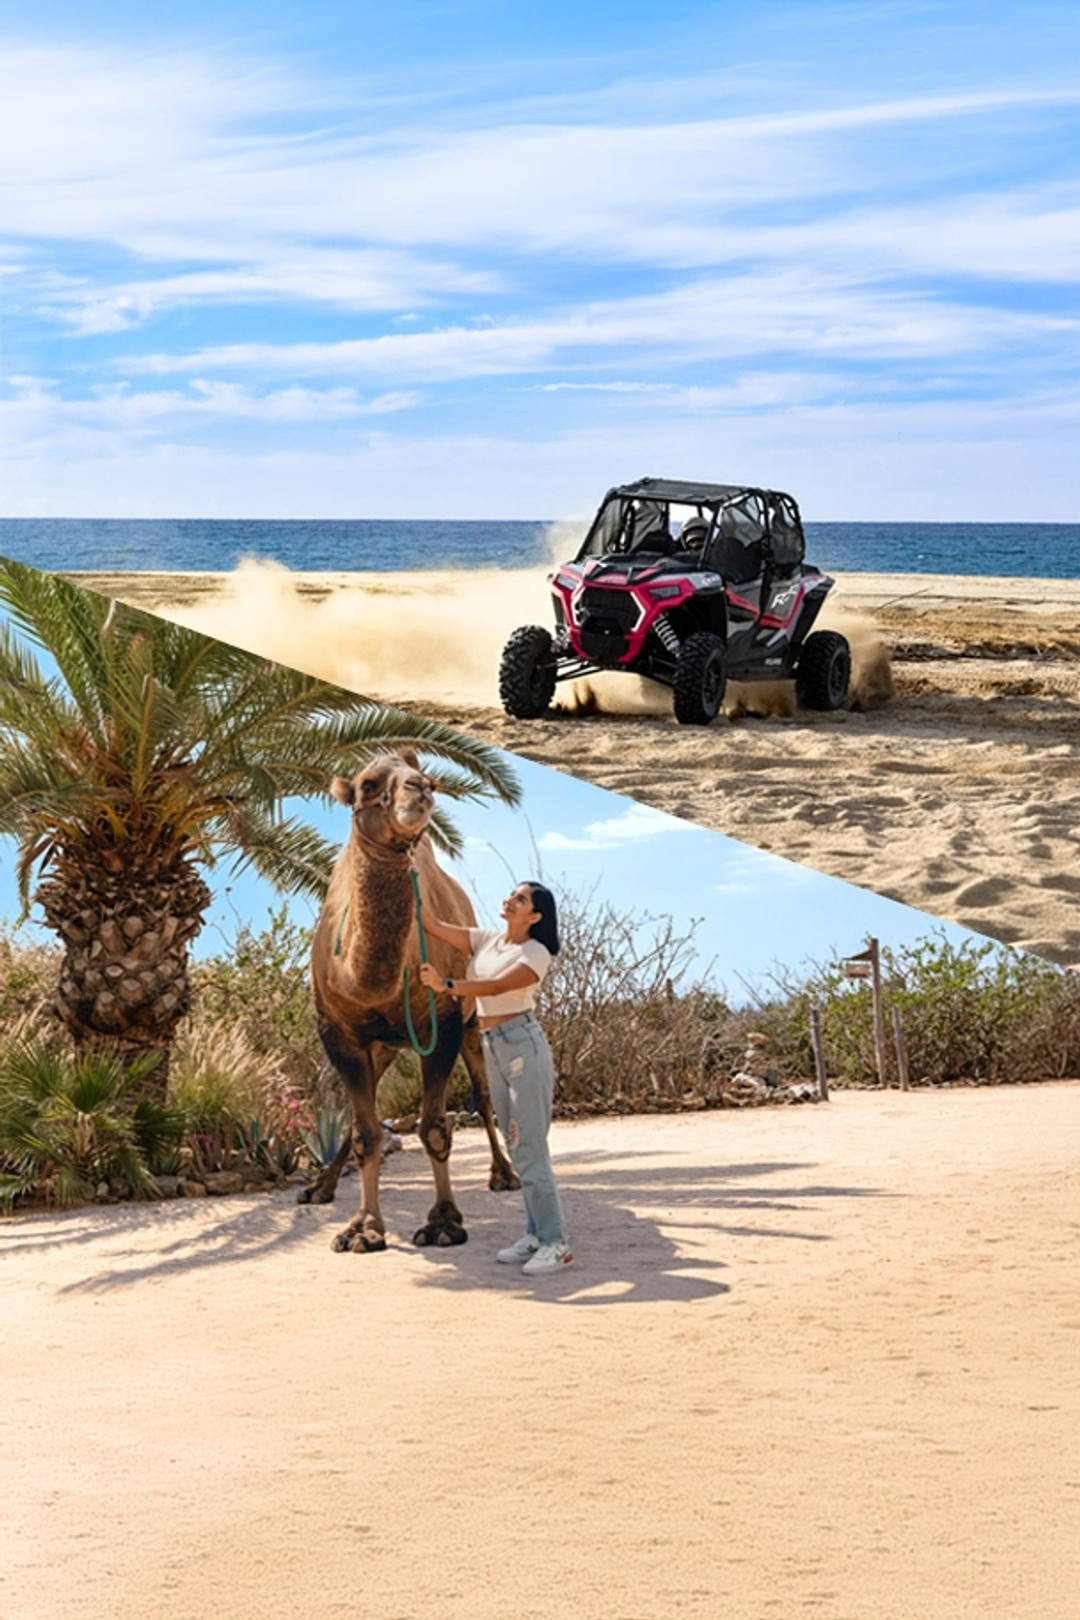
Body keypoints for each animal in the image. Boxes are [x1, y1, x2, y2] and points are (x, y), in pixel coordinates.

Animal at [300, 748, 519, 1252]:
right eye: (366, 784)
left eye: (425, 778)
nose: (421, 788)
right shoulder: (338, 1033)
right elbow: (364, 1131)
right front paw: (362, 1228)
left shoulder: (442, 1022)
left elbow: (434, 1126)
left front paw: (444, 1223)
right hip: (383, 1045)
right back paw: (319, 1187)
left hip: (471, 1025)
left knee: (484, 1096)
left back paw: (505, 1175)